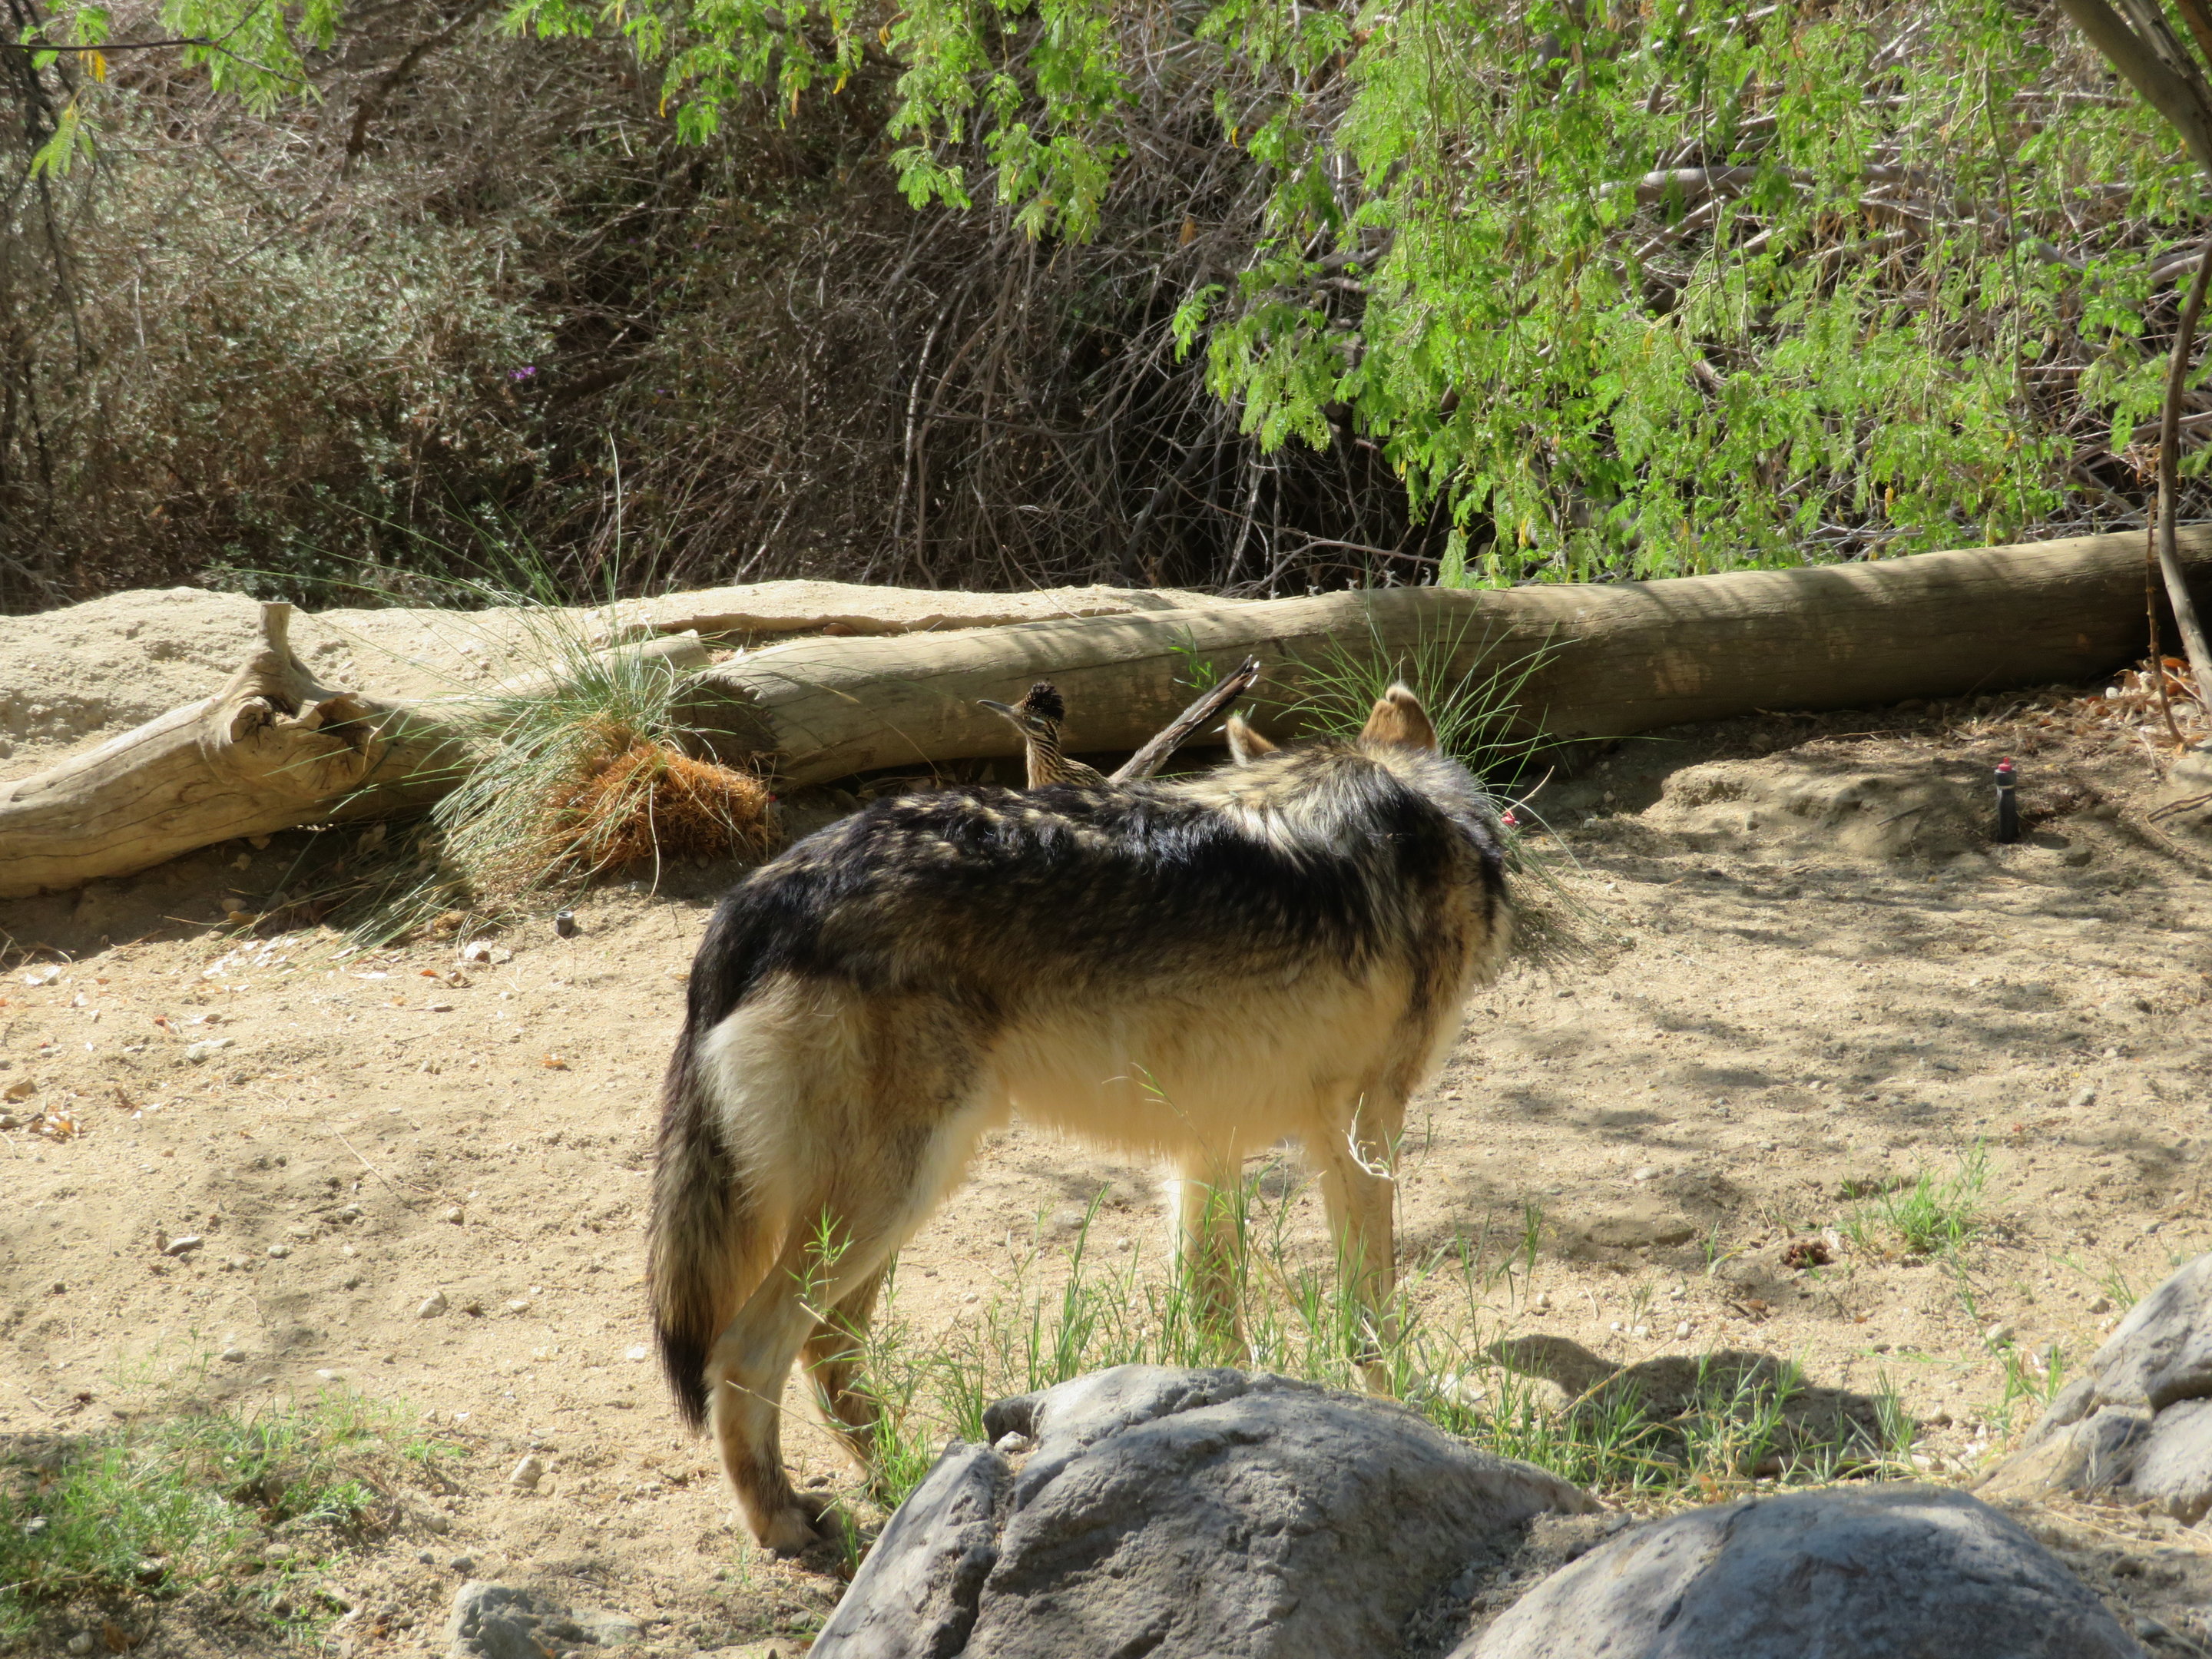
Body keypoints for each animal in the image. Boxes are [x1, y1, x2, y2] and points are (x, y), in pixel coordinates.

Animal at [649, 685, 1511, 1551]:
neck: (1422, 816)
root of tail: (754, 897)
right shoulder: (1366, 1127)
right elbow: (1373, 1305)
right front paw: (1410, 1406)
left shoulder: (1210, 1140)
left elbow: (1213, 1303)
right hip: (895, 1190)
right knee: (748, 1352)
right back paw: (783, 1519)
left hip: (892, 1204)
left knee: (827, 1346)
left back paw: (907, 1474)